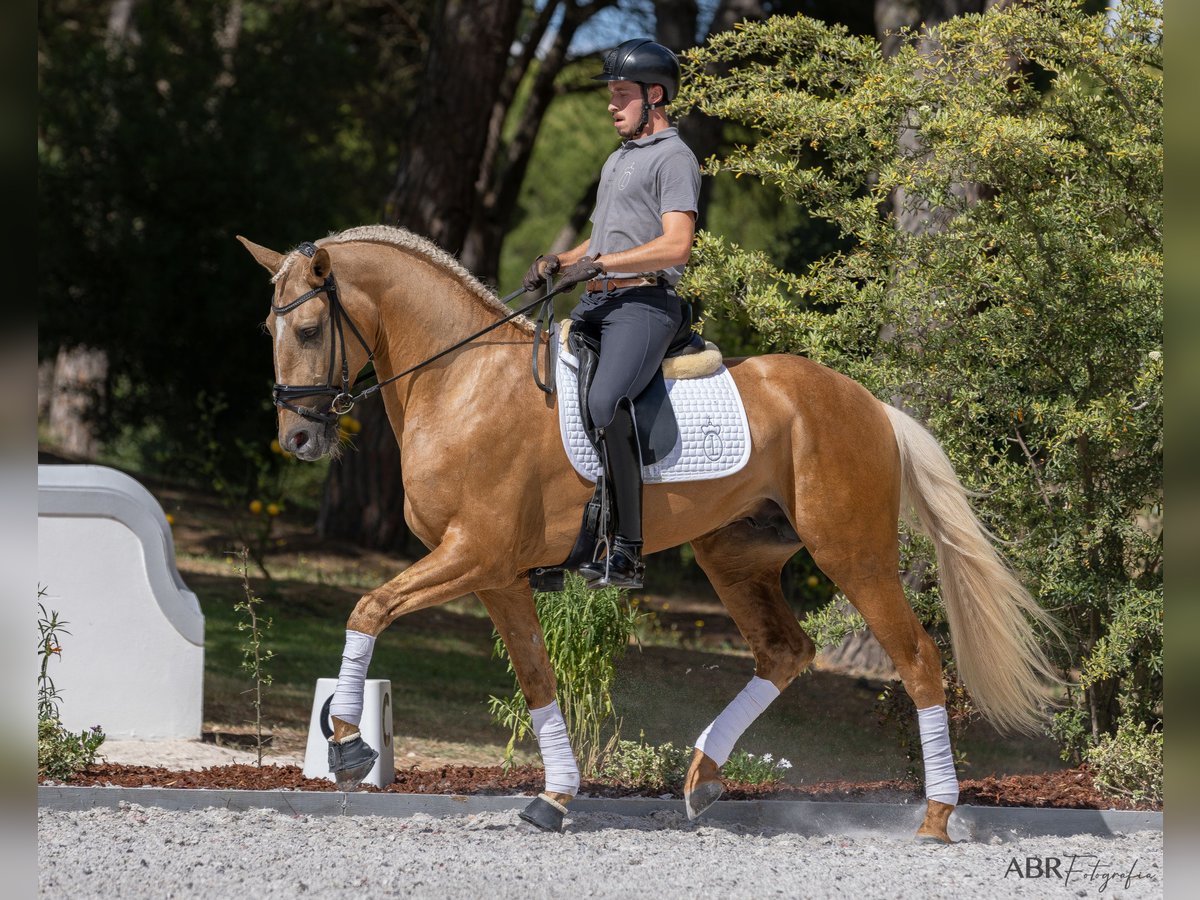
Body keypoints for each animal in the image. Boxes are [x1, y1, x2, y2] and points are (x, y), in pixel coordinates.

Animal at [238, 226, 1056, 844]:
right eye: (269, 328)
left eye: (307, 329)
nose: (298, 440)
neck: (462, 380)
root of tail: (869, 404)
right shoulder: (494, 573)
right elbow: (537, 676)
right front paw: (556, 798)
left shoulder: (472, 554)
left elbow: (369, 607)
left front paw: (348, 742)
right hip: (735, 553)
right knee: (784, 651)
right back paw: (701, 777)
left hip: (853, 555)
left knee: (917, 660)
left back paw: (937, 816)